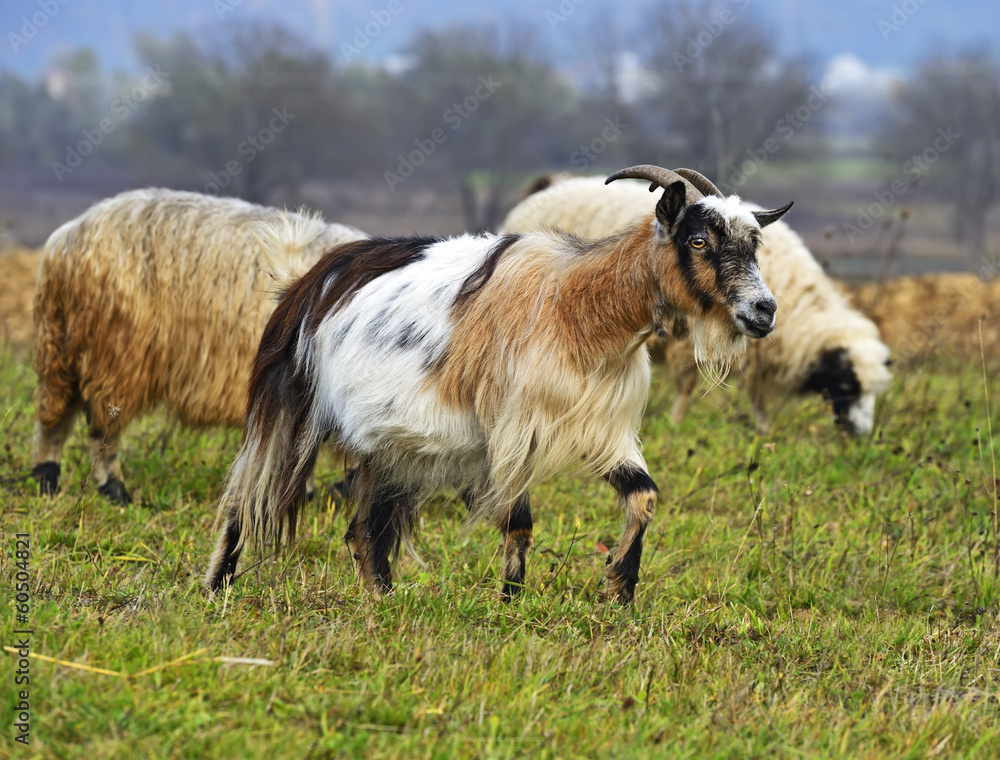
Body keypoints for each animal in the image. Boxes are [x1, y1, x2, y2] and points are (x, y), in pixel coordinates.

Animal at [31, 188, 366, 504]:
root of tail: (67, 239)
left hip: (67, 349)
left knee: (57, 417)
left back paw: (46, 479)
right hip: (113, 353)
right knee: (100, 430)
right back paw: (113, 489)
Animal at [205, 165, 792, 603]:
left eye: (754, 246)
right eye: (698, 239)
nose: (764, 311)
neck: (576, 309)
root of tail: (306, 278)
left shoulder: (601, 429)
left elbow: (644, 495)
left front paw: (620, 590)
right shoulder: (512, 429)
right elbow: (519, 522)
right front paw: (511, 603)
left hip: (386, 445)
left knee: (362, 532)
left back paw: (383, 599)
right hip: (290, 403)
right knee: (245, 496)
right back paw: (217, 587)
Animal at [500, 175, 892, 435]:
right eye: (847, 384)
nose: (861, 435)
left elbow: (756, 393)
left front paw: (764, 428)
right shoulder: (690, 335)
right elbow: (688, 383)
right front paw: (676, 422)